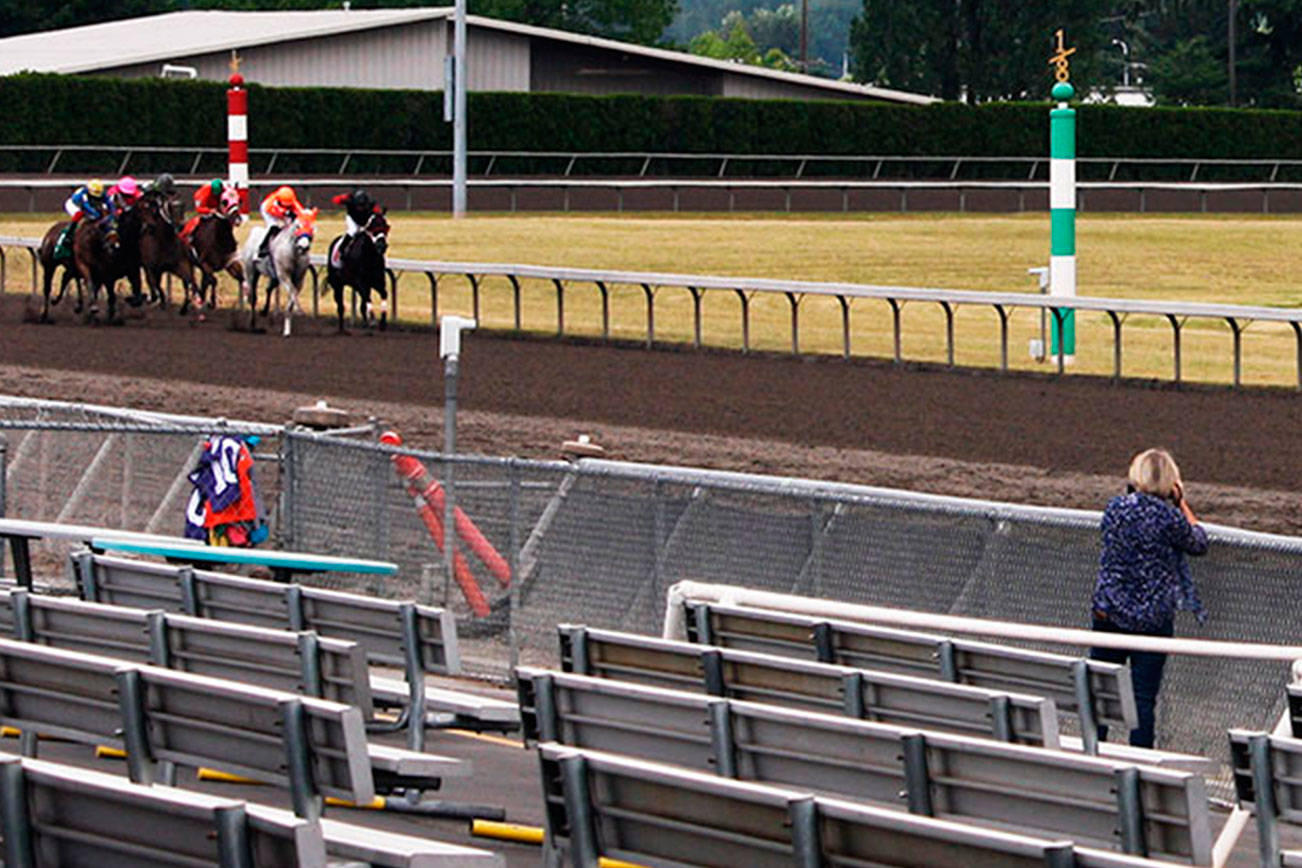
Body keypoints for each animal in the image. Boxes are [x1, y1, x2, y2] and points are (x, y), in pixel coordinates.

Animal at [240, 206, 318, 335]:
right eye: (297, 226)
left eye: (312, 227)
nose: (304, 247)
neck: (293, 253)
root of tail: (253, 233)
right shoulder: (283, 275)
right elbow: (292, 292)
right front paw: (299, 311)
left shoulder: (299, 279)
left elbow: (292, 296)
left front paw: (287, 329)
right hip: (251, 272)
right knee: (252, 296)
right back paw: (252, 324)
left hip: (272, 276)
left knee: (268, 289)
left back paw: (264, 311)